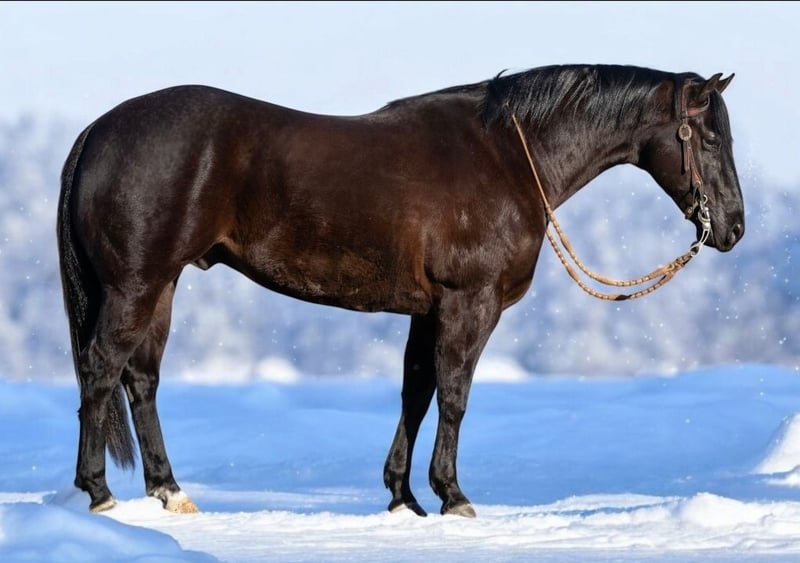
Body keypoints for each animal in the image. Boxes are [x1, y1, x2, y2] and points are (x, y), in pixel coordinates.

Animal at [57, 64, 744, 518]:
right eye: (710, 138)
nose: (734, 227)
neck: (505, 156)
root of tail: (97, 131)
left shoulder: (429, 311)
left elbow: (417, 393)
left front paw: (403, 495)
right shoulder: (470, 304)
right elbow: (454, 396)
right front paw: (452, 495)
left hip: (161, 287)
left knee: (140, 379)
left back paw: (168, 491)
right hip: (137, 285)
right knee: (101, 368)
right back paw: (100, 492)